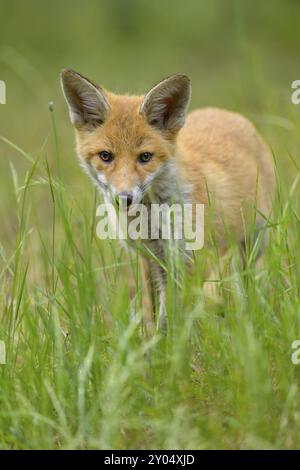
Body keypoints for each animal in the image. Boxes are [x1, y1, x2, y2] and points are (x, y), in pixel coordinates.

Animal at [60, 70, 274, 330]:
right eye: (105, 156)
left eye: (145, 157)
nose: (124, 198)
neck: (148, 222)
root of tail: (228, 113)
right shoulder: (149, 256)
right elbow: (153, 311)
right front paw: (152, 339)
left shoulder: (185, 257)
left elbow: (171, 314)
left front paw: (173, 341)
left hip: (253, 244)